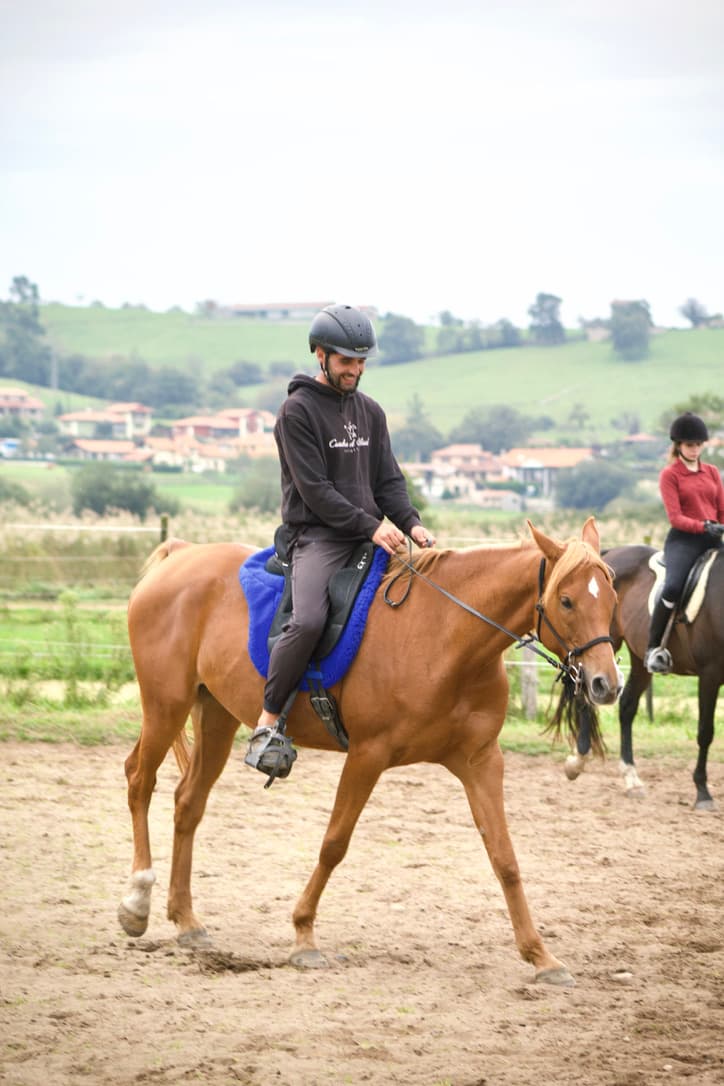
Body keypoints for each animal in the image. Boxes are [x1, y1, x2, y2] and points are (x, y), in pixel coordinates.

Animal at [117, 516, 616, 986]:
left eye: (611, 599)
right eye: (566, 601)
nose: (605, 684)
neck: (447, 635)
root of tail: (180, 554)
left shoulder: (481, 762)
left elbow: (505, 858)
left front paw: (541, 957)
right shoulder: (368, 755)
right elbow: (334, 844)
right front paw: (304, 935)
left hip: (215, 715)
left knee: (188, 803)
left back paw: (186, 921)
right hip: (165, 705)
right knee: (140, 779)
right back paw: (137, 901)